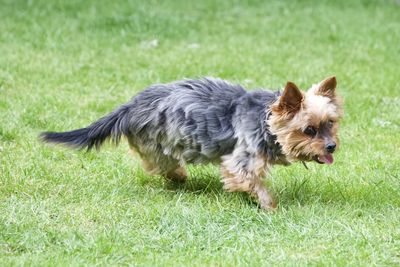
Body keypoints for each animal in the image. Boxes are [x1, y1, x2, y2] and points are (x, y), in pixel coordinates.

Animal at [41, 76, 344, 210]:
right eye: (309, 130)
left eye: (330, 123)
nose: (331, 146)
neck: (265, 117)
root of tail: (129, 106)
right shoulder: (239, 163)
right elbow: (255, 184)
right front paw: (271, 207)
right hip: (157, 142)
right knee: (160, 163)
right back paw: (179, 176)